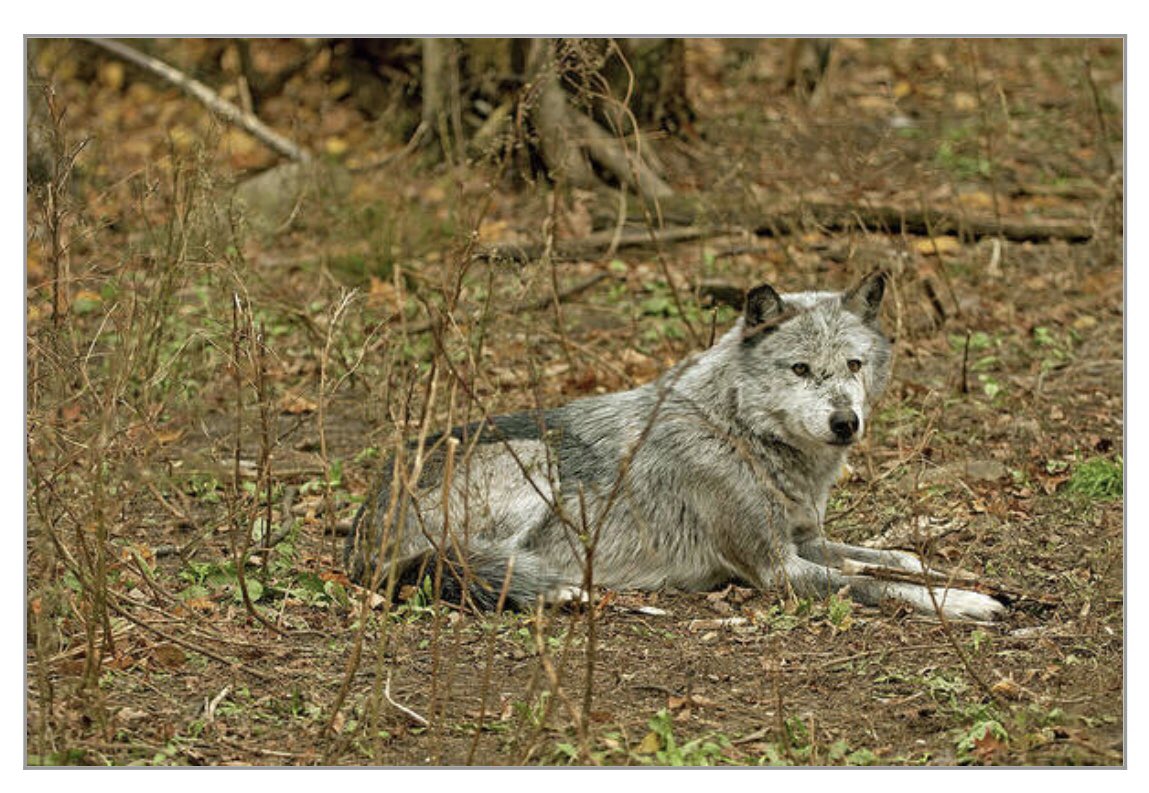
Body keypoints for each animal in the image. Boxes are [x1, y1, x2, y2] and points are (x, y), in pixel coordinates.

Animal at [346, 270, 1005, 622]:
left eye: (853, 365)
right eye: (799, 369)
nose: (846, 422)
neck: (741, 433)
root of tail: (361, 533)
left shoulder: (804, 539)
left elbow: (892, 558)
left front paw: (950, 567)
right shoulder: (778, 568)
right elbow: (880, 584)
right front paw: (966, 599)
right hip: (536, 461)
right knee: (462, 562)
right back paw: (561, 588)